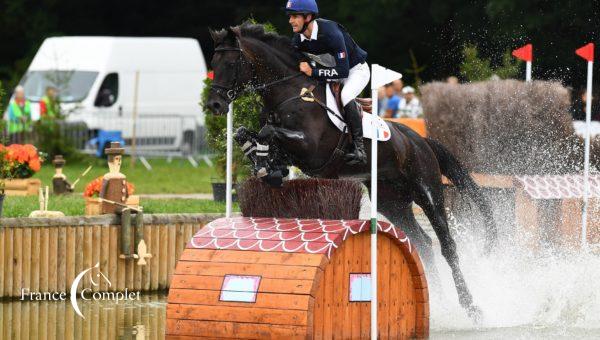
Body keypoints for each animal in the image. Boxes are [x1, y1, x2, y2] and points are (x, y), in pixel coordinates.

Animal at [206, 23, 496, 318]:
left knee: (447, 245)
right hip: (393, 203)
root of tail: (420, 140)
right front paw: (266, 165)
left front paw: (267, 164)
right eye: (213, 64)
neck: (289, 92)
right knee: (424, 244)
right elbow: (246, 133)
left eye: (231, 63)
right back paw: (438, 302)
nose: (214, 105)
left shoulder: (311, 148)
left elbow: (268, 132)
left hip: (427, 192)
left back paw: (470, 306)